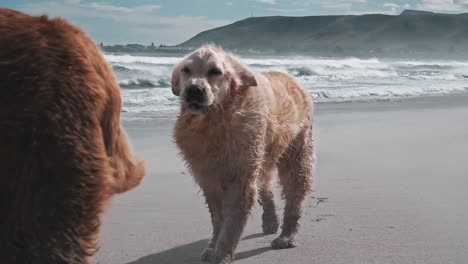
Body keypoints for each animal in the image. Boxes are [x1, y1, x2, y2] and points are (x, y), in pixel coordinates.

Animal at [172, 44, 314, 262]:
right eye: (186, 70)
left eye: (215, 71)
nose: (194, 89)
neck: (215, 120)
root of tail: (291, 77)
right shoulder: (208, 176)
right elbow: (217, 218)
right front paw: (212, 247)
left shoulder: (240, 176)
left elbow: (231, 223)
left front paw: (221, 254)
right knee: (265, 186)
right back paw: (270, 221)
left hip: (295, 153)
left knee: (294, 193)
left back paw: (286, 235)